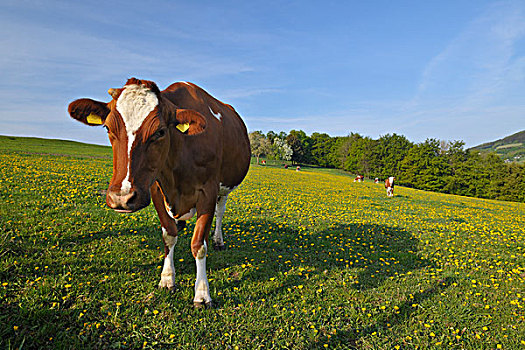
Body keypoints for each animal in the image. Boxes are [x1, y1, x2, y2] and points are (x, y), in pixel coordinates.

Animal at [66, 78, 251, 308]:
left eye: (160, 132)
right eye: (107, 127)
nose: (121, 198)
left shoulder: (208, 190)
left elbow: (199, 244)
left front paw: (201, 294)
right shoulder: (155, 190)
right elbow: (169, 235)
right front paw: (167, 278)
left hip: (225, 187)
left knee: (220, 212)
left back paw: (218, 240)